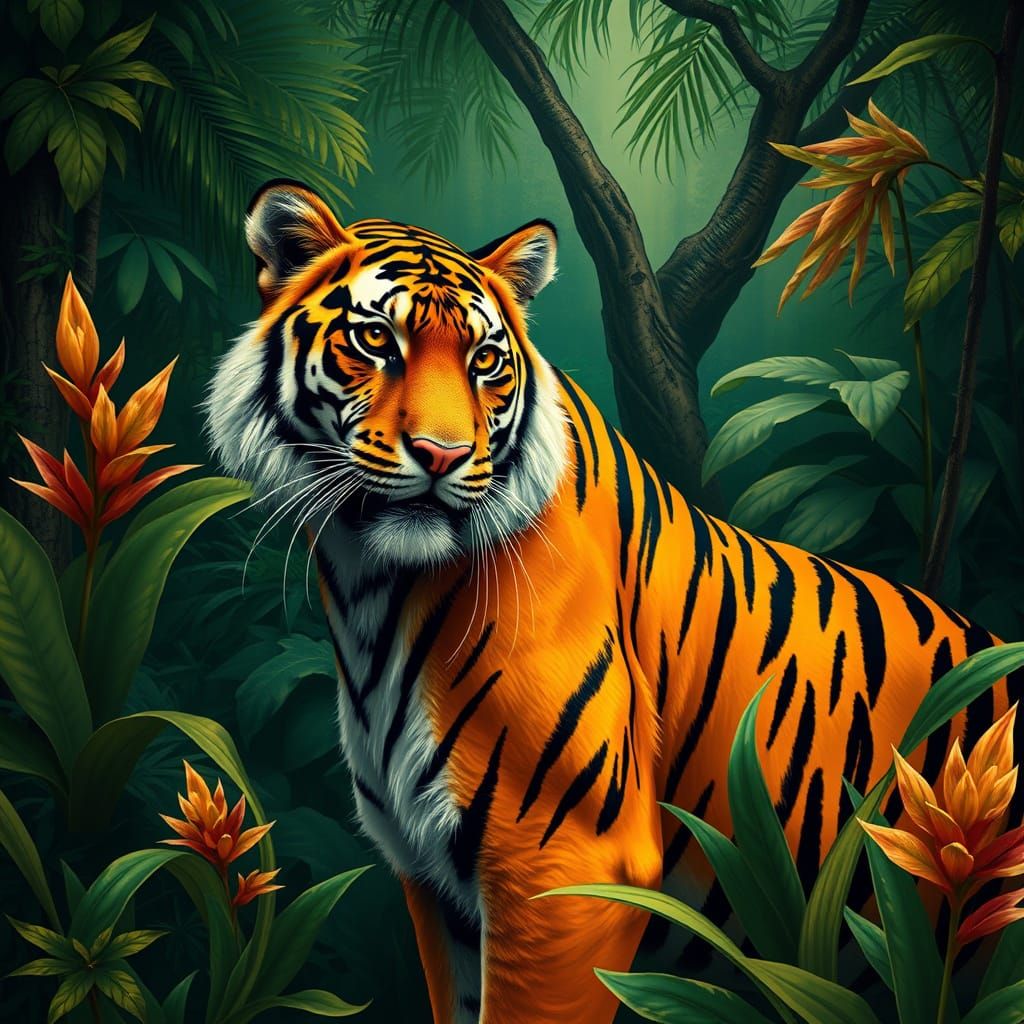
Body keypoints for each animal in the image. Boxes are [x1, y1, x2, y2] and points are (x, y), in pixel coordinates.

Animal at [205, 179, 1022, 1024]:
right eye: (375, 341)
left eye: (485, 360)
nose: (442, 454)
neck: (375, 592)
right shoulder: (433, 878)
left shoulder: (567, 865)